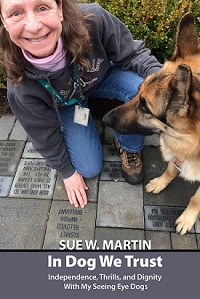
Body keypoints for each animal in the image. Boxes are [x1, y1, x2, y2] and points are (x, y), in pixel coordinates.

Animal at [103, 12, 200, 236]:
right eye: (137, 91)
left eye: (145, 107)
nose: (104, 119)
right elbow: (171, 168)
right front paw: (161, 182)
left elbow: (196, 198)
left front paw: (188, 218)